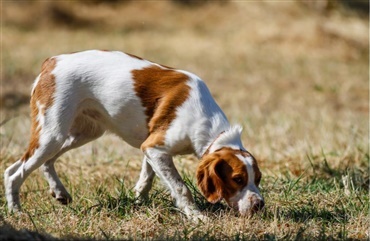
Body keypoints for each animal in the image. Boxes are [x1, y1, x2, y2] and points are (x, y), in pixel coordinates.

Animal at [2, 50, 264, 221]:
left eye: (258, 179)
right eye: (238, 179)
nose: (259, 205)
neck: (207, 124)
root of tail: (52, 62)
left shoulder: (151, 148)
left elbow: (147, 178)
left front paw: (139, 201)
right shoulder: (156, 147)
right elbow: (181, 188)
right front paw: (196, 217)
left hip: (82, 133)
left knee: (46, 162)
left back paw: (59, 192)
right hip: (52, 133)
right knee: (13, 172)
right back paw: (16, 212)